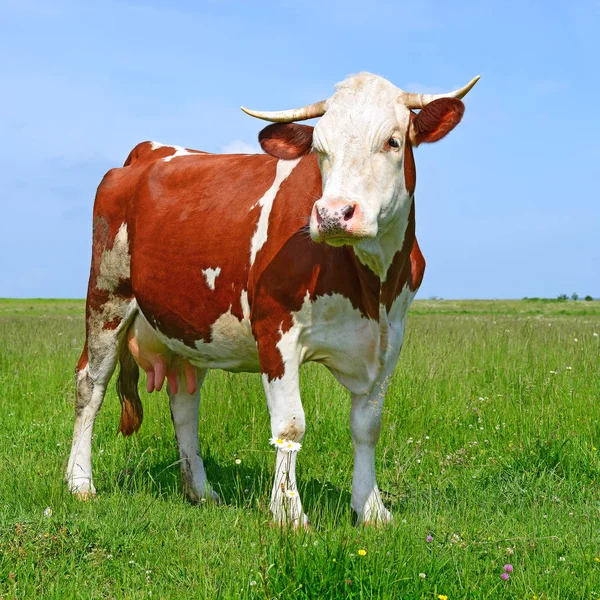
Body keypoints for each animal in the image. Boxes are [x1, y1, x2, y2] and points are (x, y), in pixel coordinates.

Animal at [65, 71, 478, 524]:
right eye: (319, 150)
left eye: (393, 141)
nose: (333, 214)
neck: (373, 286)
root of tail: (148, 152)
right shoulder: (276, 331)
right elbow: (290, 425)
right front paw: (289, 514)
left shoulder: (390, 340)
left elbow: (367, 427)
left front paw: (372, 510)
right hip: (107, 298)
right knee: (90, 385)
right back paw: (80, 483)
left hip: (189, 327)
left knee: (185, 402)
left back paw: (200, 491)